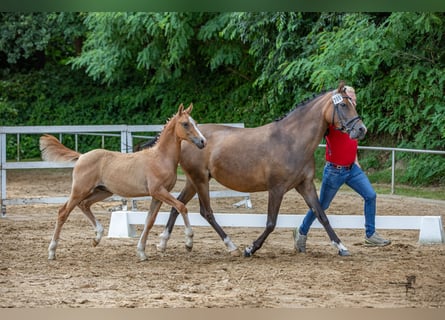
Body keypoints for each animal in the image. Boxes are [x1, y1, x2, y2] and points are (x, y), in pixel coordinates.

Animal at [39, 104, 206, 262]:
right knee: (63, 212)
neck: (160, 158)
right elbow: (181, 207)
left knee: (84, 204)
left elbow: (149, 221)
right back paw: (52, 251)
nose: (203, 142)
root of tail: (81, 156)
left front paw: (141, 252)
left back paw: (97, 237)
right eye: (185, 124)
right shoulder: (158, 191)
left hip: (102, 191)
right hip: (80, 190)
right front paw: (189, 242)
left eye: (196, 123)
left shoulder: (157, 196)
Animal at [156, 82, 364, 258]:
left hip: (193, 181)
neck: (292, 140)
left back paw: (165, 243)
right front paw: (250, 248)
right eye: (343, 105)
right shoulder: (277, 189)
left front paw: (341, 247)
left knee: (177, 205)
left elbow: (322, 215)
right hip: (200, 180)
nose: (361, 129)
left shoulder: (305, 185)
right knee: (206, 212)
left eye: (352, 103)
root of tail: (189, 139)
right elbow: (271, 223)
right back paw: (230, 245)